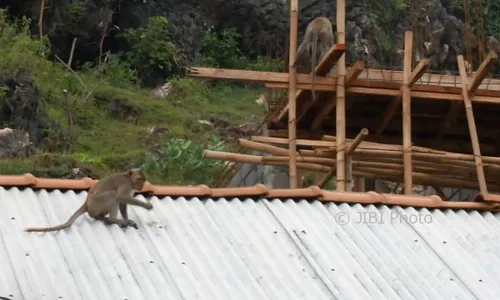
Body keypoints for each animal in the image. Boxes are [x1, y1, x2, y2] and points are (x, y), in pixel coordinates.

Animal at [23, 169, 152, 232]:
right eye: (139, 179)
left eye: (143, 180)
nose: (142, 186)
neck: (129, 179)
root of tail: (86, 204)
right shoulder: (125, 185)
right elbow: (120, 197)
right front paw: (147, 206)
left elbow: (123, 203)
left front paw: (127, 219)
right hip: (97, 203)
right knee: (113, 195)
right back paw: (113, 220)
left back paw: (103, 218)